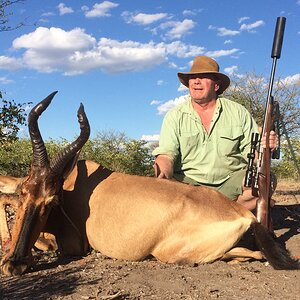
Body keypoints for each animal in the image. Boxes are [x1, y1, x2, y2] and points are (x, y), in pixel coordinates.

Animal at [1, 92, 298, 276]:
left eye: (51, 202)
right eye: (23, 192)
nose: (15, 264)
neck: (77, 186)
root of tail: (245, 215)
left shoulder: (72, 245)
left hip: (170, 253)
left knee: (249, 255)